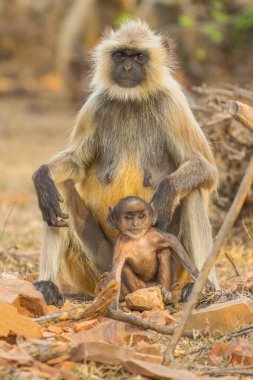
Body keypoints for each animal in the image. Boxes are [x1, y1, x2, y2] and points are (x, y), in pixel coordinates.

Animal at [33, 20, 219, 306]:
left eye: (139, 56)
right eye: (120, 55)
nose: (128, 68)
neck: (132, 101)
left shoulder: (173, 104)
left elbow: (206, 169)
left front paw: (165, 193)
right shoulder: (94, 107)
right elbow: (75, 164)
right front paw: (42, 177)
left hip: (171, 268)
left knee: (192, 191)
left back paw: (201, 285)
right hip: (101, 266)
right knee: (59, 188)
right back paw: (48, 285)